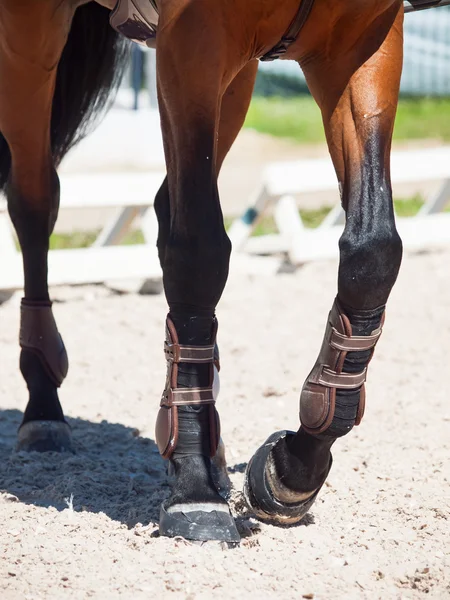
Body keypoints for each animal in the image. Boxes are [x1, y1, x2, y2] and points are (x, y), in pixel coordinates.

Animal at [0, 0, 432, 544]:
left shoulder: (363, 43)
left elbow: (372, 252)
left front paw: (291, 470)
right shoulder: (194, 42)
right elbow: (198, 253)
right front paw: (195, 486)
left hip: (237, 76)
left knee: (164, 204)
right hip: (32, 33)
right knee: (35, 198)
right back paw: (43, 405)